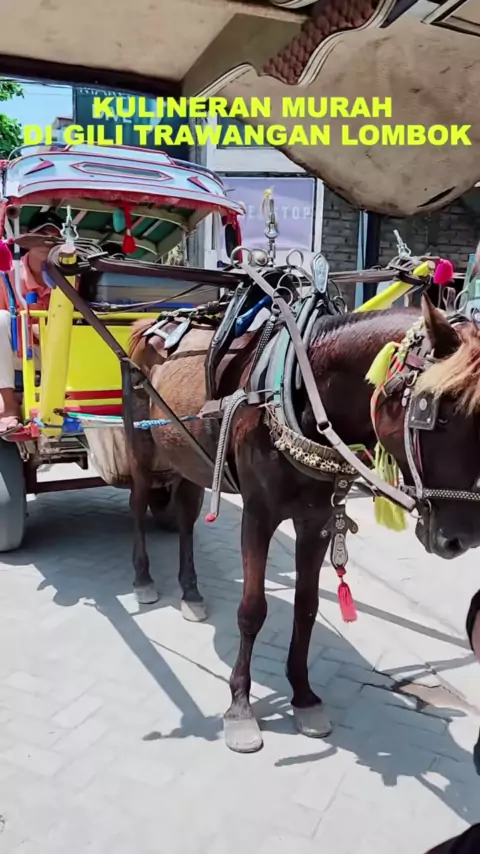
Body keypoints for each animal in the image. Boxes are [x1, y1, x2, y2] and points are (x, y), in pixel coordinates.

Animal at [126, 292, 480, 753]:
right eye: (435, 412)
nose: (461, 539)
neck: (302, 398)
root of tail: (148, 321)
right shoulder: (258, 516)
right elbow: (252, 610)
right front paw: (240, 707)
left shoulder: (317, 520)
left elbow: (307, 608)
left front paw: (304, 696)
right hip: (141, 447)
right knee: (136, 505)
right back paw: (143, 579)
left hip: (187, 456)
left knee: (186, 516)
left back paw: (190, 591)